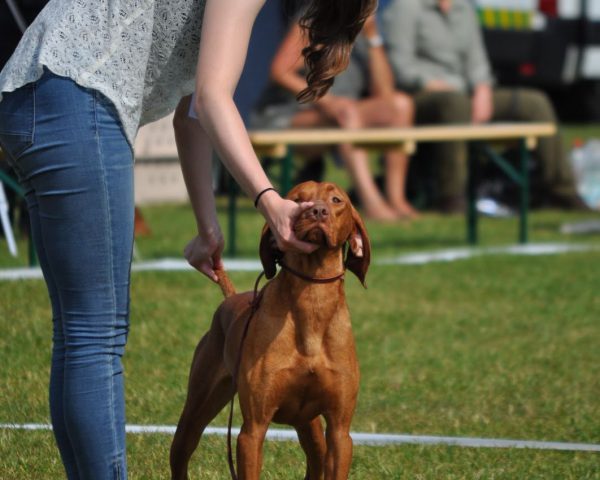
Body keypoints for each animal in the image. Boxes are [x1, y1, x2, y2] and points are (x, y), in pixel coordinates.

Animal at [169, 181, 370, 480]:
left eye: (336, 200)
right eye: (297, 200)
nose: (317, 211)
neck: (313, 303)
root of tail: (229, 299)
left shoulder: (339, 430)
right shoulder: (253, 429)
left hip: (308, 424)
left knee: (316, 458)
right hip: (197, 408)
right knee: (181, 450)